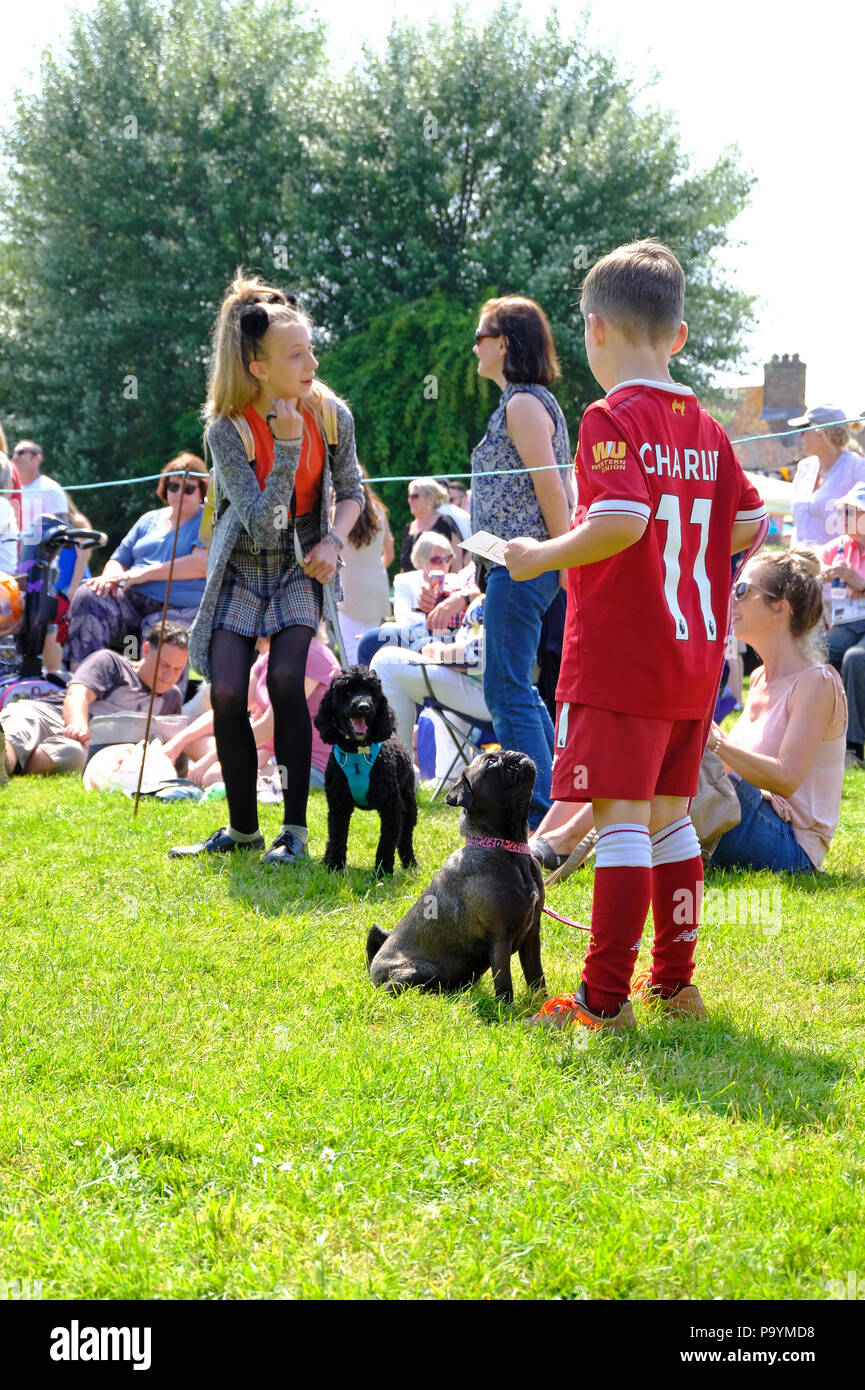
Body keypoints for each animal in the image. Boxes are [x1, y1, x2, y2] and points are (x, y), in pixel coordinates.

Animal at [315, 664, 419, 878]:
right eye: (347, 691)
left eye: (372, 692)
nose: (364, 707)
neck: (357, 751)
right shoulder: (338, 805)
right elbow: (337, 837)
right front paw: (335, 867)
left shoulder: (392, 807)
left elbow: (386, 843)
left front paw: (382, 873)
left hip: (409, 804)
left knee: (405, 837)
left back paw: (410, 864)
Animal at [367, 750, 545, 1000]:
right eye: (491, 763)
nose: (512, 753)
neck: (507, 848)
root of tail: (373, 968)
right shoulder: (500, 938)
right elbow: (504, 984)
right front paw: (506, 1008)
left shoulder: (532, 936)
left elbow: (537, 977)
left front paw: (543, 1003)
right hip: (417, 971)